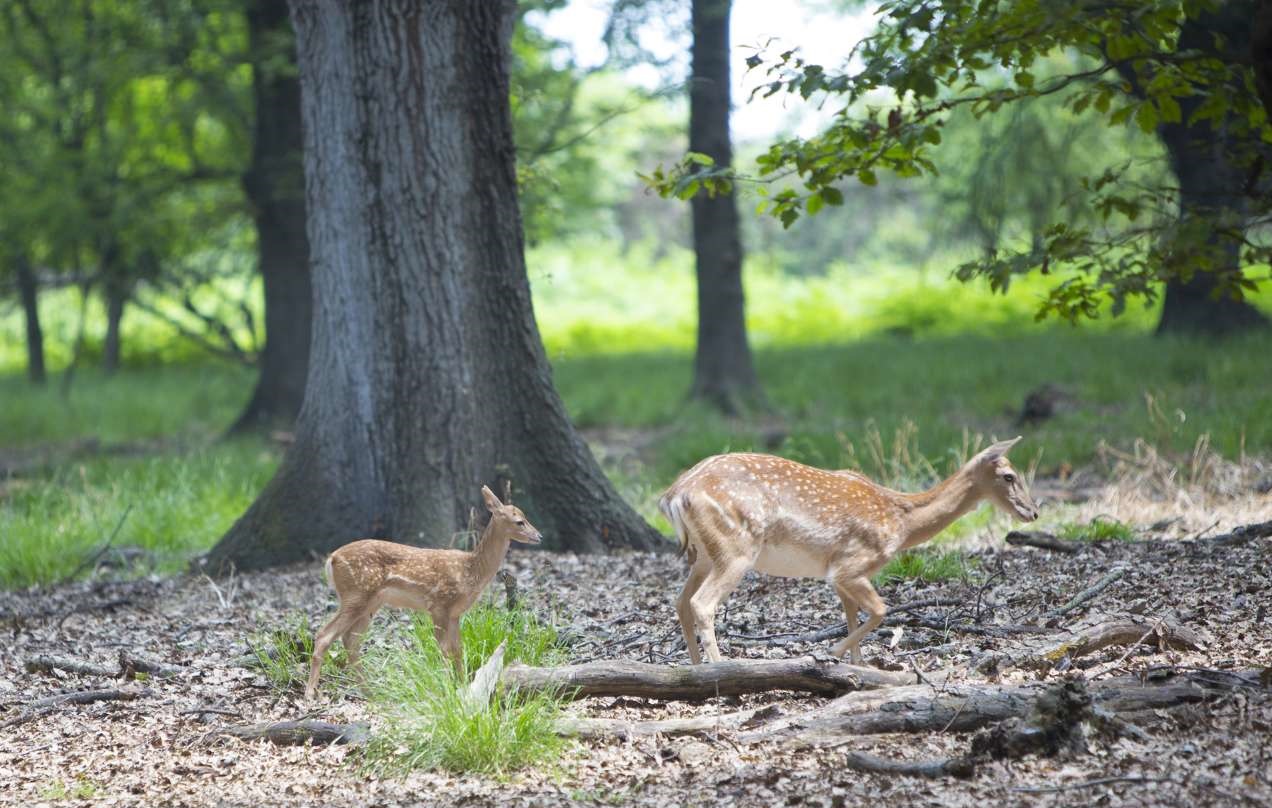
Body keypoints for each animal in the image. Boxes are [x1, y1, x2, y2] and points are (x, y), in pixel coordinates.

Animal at [309, 486, 546, 702]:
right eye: (519, 521)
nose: (539, 536)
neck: (471, 570)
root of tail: (332, 558)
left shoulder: (455, 613)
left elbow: (458, 649)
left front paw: (462, 686)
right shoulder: (439, 604)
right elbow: (444, 649)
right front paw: (446, 687)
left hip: (370, 603)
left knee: (350, 641)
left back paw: (371, 693)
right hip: (356, 594)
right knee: (324, 635)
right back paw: (311, 694)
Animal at [661, 440, 1037, 666]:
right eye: (1009, 476)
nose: (1033, 511)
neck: (901, 522)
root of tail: (674, 494)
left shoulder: (840, 573)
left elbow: (852, 614)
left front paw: (856, 666)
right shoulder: (851, 564)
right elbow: (881, 610)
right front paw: (831, 652)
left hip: (704, 554)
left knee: (681, 602)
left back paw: (693, 669)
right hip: (737, 549)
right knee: (701, 603)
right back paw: (720, 668)